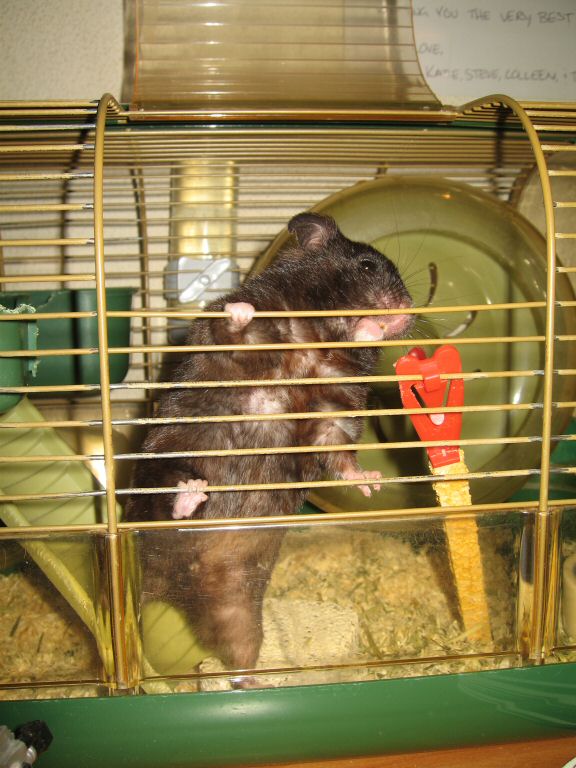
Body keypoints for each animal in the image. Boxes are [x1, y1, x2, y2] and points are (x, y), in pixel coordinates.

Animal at [124, 212, 414, 680]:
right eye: (367, 265)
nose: (406, 312)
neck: (318, 339)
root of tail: (167, 580)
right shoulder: (230, 340)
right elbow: (232, 328)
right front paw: (242, 311)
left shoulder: (335, 409)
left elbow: (339, 451)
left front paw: (371, 483)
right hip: (160, 469)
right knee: (166, 502)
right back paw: (192, 494)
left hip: (238, 601)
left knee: (239, 647)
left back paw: (249, 683)